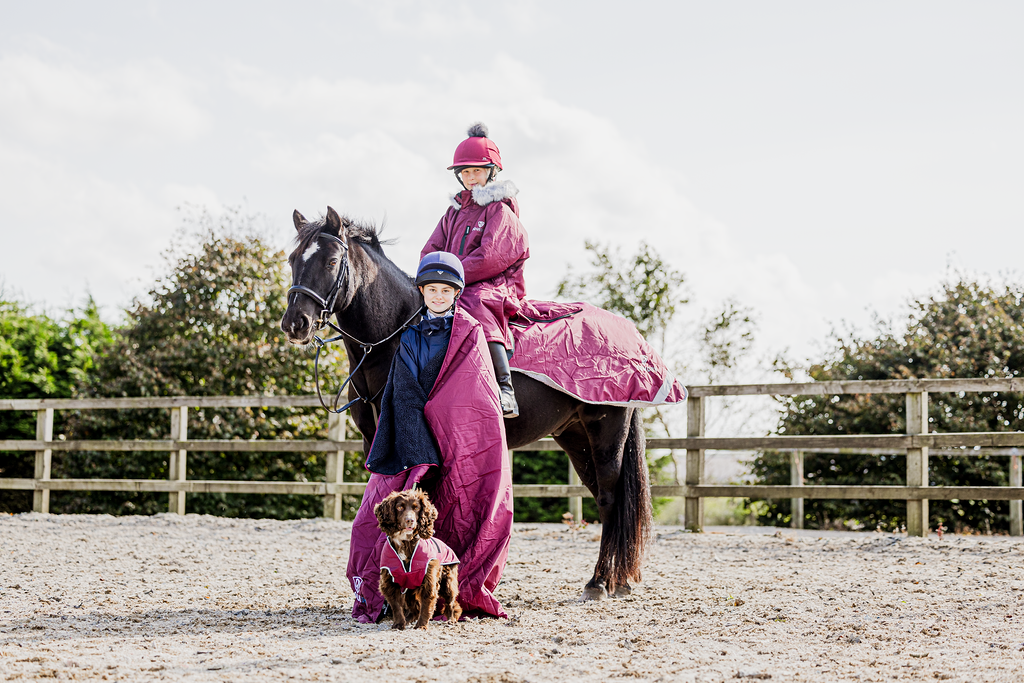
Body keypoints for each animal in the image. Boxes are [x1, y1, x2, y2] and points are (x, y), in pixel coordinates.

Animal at [280, 206, 647, 598]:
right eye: (292, 259)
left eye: (332, 261)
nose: (295, 323)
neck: (397, 336)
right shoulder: (376, 445)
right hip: (576, 437)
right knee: (607, 500)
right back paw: (618, 580)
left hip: (606, 432)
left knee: (610, 499)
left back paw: (599, 582)